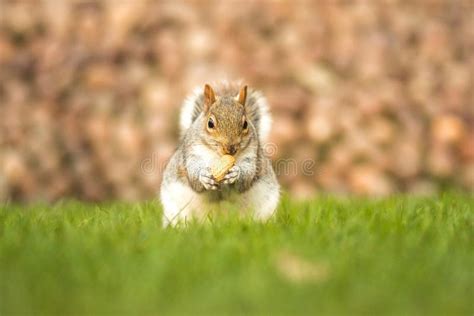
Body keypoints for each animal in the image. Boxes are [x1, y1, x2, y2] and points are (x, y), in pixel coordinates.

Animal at [161, 81, 280, 225]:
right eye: (210, 123)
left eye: (245, 124)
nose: (230, 148)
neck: (219, 157)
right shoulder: (191, 154)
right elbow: (194, 176)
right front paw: (203, 176)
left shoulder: (251, 156)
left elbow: (247, 177)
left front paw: (235, 173)